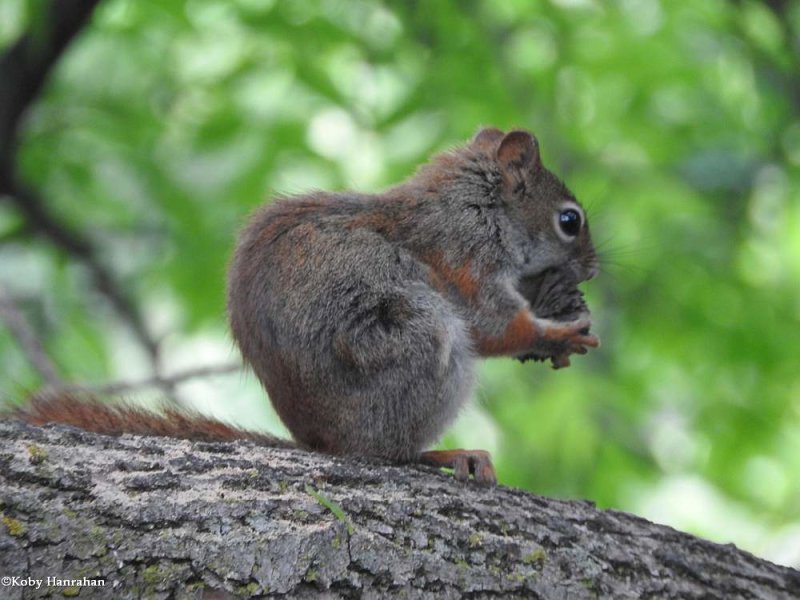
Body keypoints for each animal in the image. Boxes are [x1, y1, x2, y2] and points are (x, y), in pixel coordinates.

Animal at [17, 127, 600, 488]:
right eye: (569, 221)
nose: (594, 268)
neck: (479, 205)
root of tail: (320, 440)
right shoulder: (465, 257)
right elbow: (493, 324)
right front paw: (556, 334)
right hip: (418, 344)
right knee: (388, 453)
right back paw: (445, 453)